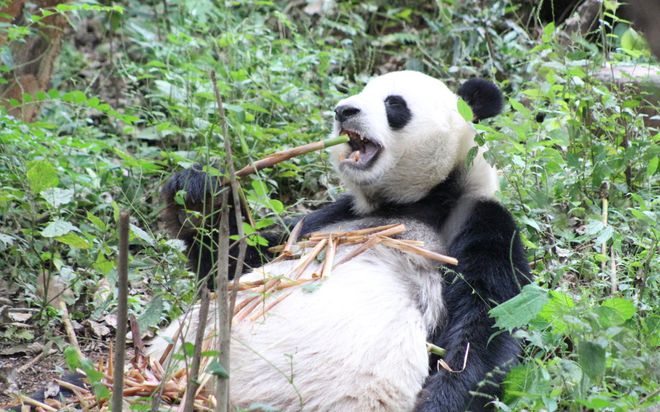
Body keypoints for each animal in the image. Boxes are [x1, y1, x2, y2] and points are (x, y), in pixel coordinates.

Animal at [155, 71, 532, 412]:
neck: (419, 200)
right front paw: (197, 197)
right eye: (363, 90)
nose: (343, 110)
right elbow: (234, 264)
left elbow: (490, 324)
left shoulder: (479, 219)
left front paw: (442, 400)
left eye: (394, 103)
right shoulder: (332, 215)